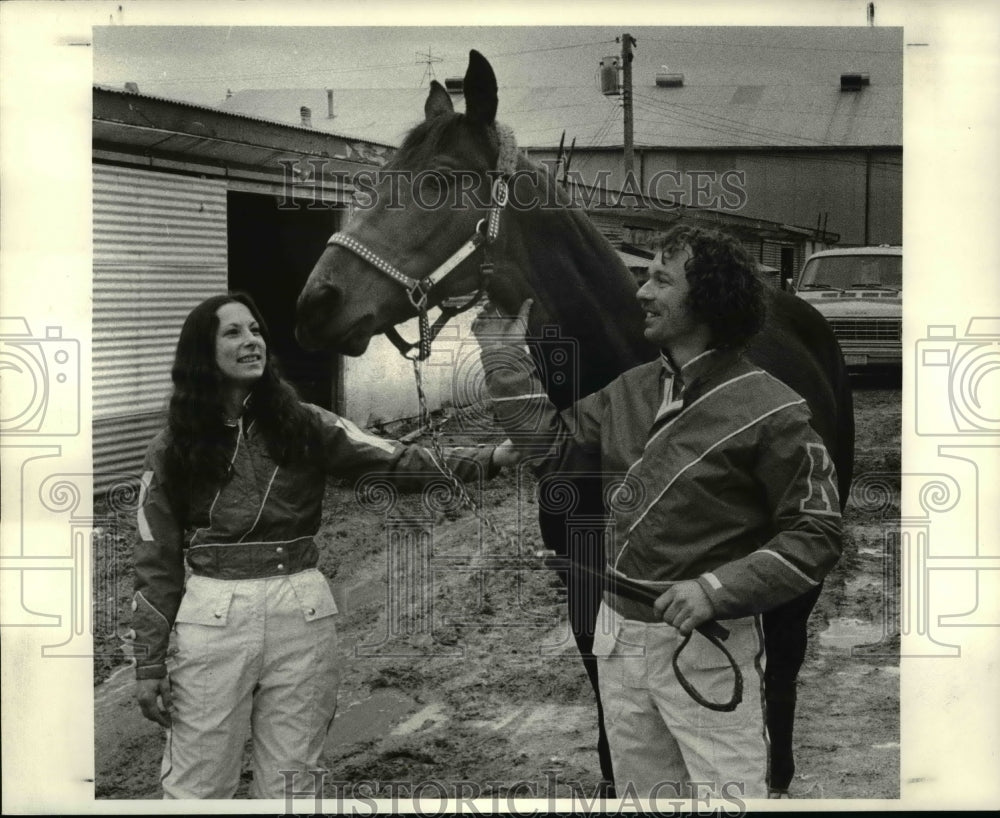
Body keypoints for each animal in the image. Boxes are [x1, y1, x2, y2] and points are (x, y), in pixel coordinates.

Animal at [294, 49, 852, 792]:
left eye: (439, 181)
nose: (315, 303)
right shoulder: (587, 584)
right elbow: (609, 712)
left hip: (801, 573)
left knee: (783, 668)